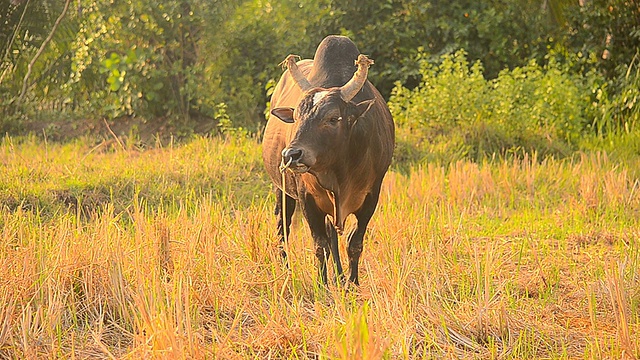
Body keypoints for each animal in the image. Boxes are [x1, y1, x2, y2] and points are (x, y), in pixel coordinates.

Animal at [262, 35, 396, 286]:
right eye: (296, 117)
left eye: (333, 118)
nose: (290, 155)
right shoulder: (307, 198)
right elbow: (320, 245)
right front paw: (322, 284)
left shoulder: (371, 196)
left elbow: (354, 243)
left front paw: (352, 283)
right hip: (282, 190)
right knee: (283, 229)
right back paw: (286, 270)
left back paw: (340, 275)